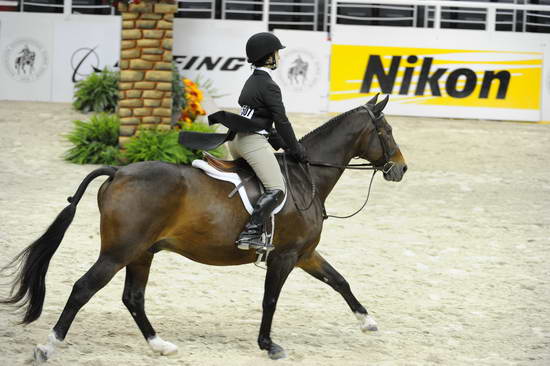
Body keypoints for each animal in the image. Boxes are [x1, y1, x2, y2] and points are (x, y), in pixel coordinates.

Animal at [0, 93, 406, 360]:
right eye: (386, 130)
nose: (400, 169)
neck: (306, 177)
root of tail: (118, 171)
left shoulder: (305, 253)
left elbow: (339, 281)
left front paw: (368, 321)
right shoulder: (285, 256)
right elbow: (270, 300)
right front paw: (268, 345)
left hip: (142, 252)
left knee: (133, 297)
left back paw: (159, 345)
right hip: (120, 251)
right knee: (84, 288)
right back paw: (48, 346)